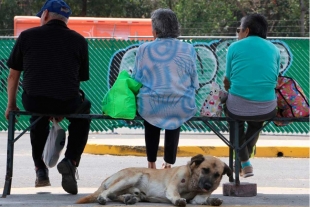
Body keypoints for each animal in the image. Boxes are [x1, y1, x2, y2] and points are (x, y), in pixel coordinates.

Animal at [75, 154, 232, 206]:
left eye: (217, 174)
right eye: (204, 169)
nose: (208, 186)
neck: (191, 184)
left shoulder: (197, 198)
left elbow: (203, 199)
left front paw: (213, 200)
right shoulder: (172, 187)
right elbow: (176, 194)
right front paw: (178, 200)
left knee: (115, 195)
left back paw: (128, 198)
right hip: (130, 177)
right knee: (107, 192)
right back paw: (103, 198)